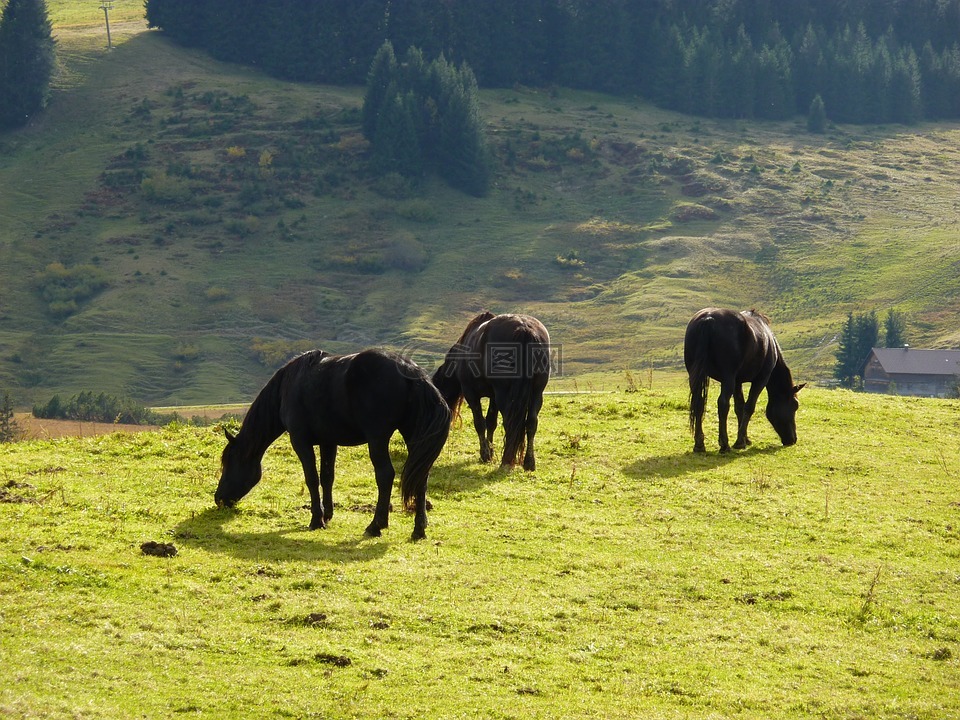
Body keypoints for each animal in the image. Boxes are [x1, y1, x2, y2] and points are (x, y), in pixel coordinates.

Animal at [216, 348, 452, 540]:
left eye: (228, 463)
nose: (218, 498)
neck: (289, 385)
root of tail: (410, 370)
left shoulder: (300, 441)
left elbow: (311, 478)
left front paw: (316, 520)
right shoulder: (328, 442)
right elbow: (327, 477)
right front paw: (327, 514)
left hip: (378, 439)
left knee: (385, 475)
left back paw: (375, 525)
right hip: (414, 438)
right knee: (420, 476)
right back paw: (419, 530)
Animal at [432, 310, 552, 472]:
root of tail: (524, 329)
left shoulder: (472, 394)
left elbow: (480, 423)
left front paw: (485, 454)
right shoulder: (494, 396)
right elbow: (491, 422)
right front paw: (490, 451)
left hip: (505, 395)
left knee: (510, 423)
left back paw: (506, 461)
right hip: (536, 393)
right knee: (531, 423)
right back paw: (529, 463)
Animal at [684, 306, 804, 452]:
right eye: (795, 405)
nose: (792, 439)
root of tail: (708, 318)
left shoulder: (738, 382)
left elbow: (739, 407)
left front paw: (745, 439)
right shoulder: (761, 379)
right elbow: (749, 407)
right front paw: (740, 441)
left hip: (695, 375)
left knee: (699, 403)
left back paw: (699, 444)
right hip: (728, 377)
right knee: (723, 403)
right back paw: (724, 444)